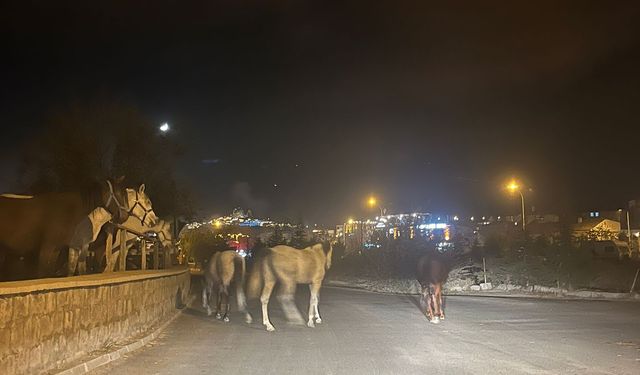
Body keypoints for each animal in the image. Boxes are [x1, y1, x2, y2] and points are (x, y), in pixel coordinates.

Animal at [0, 178, 129, 280]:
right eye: (118, 193)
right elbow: (43, 273)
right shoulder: (48, 247)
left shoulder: (63, 247)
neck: (69, 210)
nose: (125, 216)